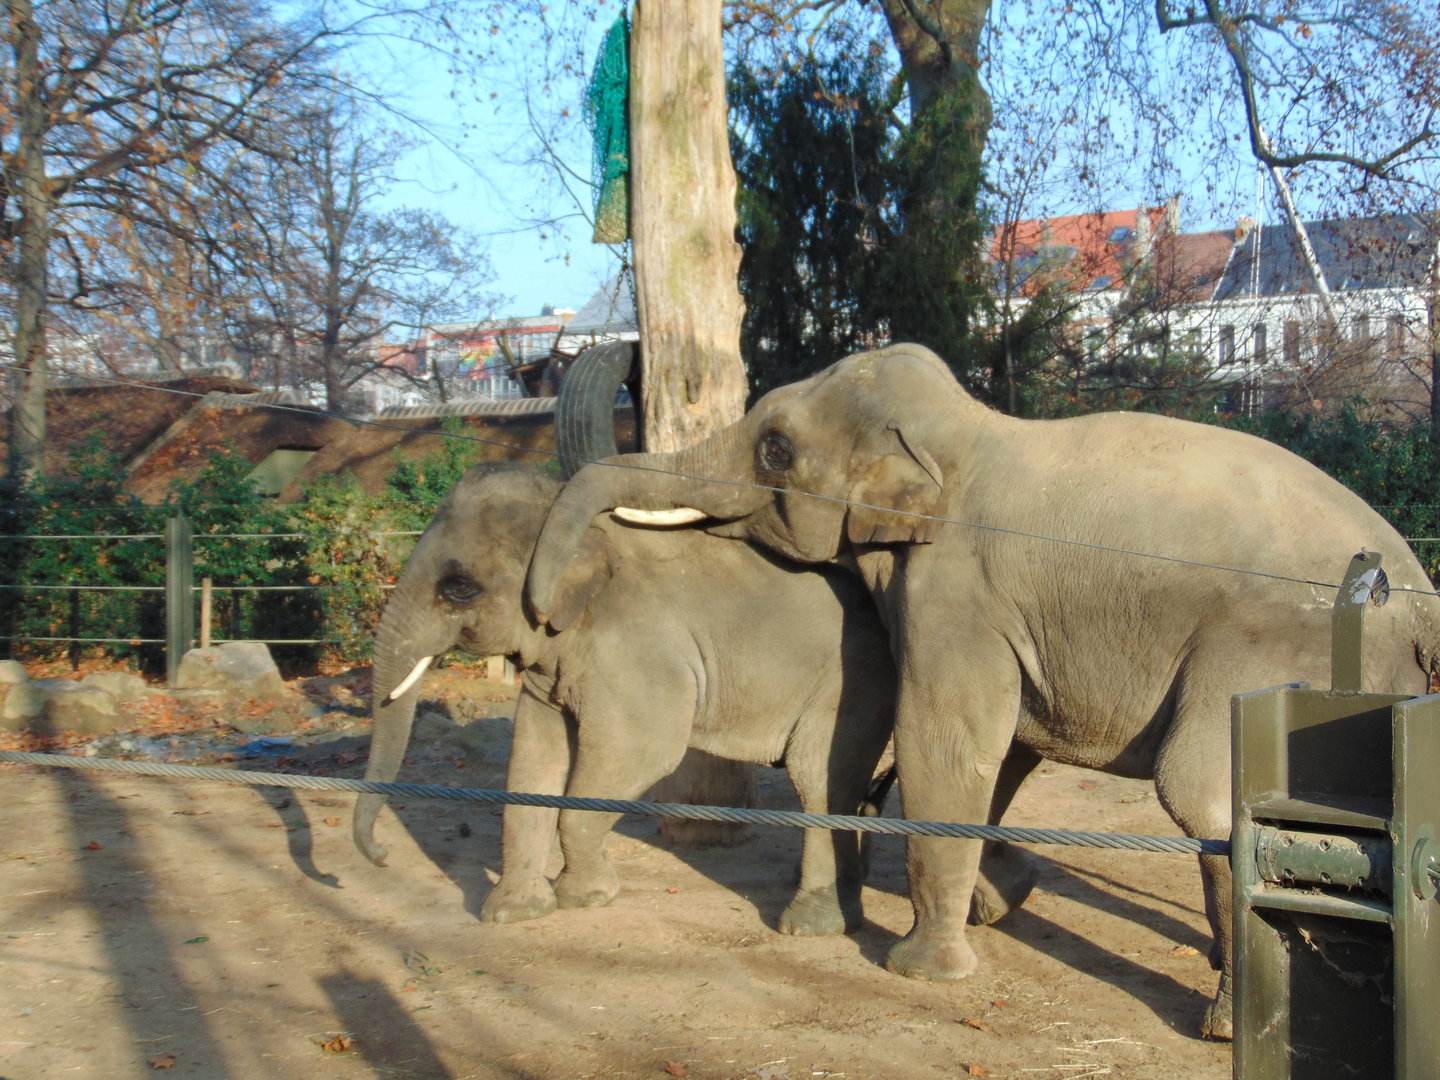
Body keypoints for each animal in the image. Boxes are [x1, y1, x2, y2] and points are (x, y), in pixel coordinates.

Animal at [354, 463, 1040, 935]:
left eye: (458, 588)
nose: (380, 857)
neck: (573, 526)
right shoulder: (555, 666)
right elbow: (533, 763)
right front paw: (509, 914)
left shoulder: (636, 652)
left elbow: (635, 757)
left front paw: (586, 898)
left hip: (855, 680)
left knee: (818, 774)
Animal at [525, 342, 1440, 1040]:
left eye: (775, 451)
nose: (538, 611)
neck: (961, 436)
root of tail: (1417, 595)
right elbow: (1007, 749)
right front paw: (1005, 898)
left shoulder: (956, 590)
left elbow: (947, 742)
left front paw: (923, 970)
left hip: (1268, 653)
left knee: (1204, 795)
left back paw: (1222, 1026)